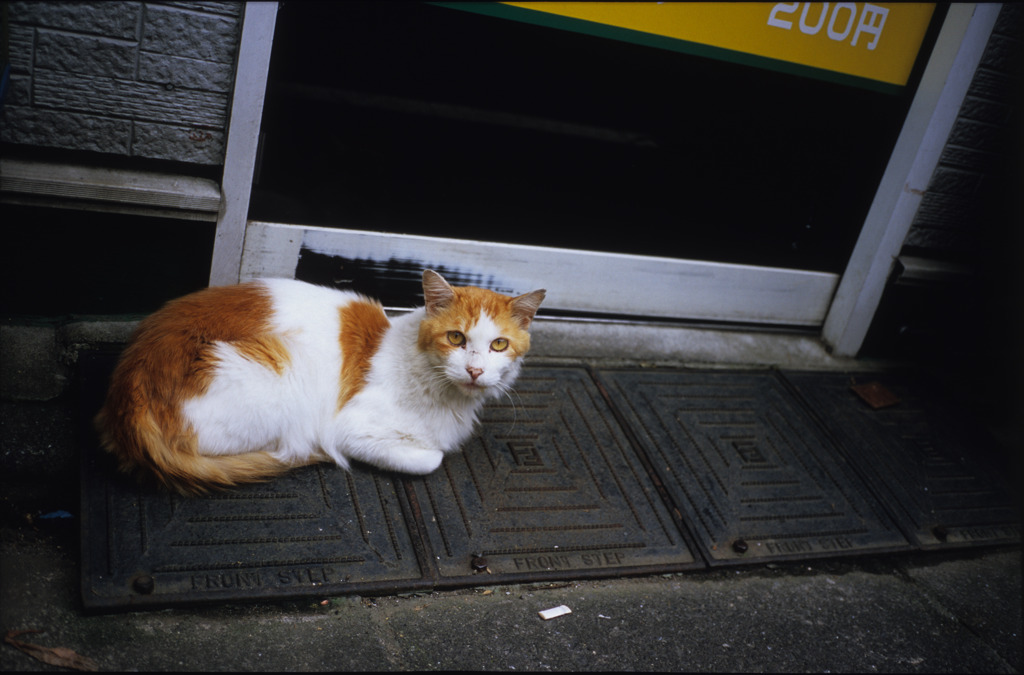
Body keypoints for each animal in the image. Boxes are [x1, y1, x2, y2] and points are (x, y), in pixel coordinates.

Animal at [96, 270, 544, 495]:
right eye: (456, 338)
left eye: (499, 345)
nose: (475, 371)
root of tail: (130, 381)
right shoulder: (351, 430)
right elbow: (430, 458)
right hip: (285, 373)